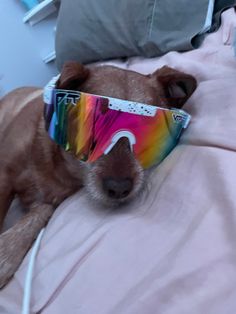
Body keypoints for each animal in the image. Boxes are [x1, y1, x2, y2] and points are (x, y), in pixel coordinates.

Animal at [0, 60, 196, 288]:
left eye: (150, 133)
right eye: (94, 124)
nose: (119, 189)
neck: (55, 165)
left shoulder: (52, 201)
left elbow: (41, 213)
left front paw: (7, 250)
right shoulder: (4, 174)